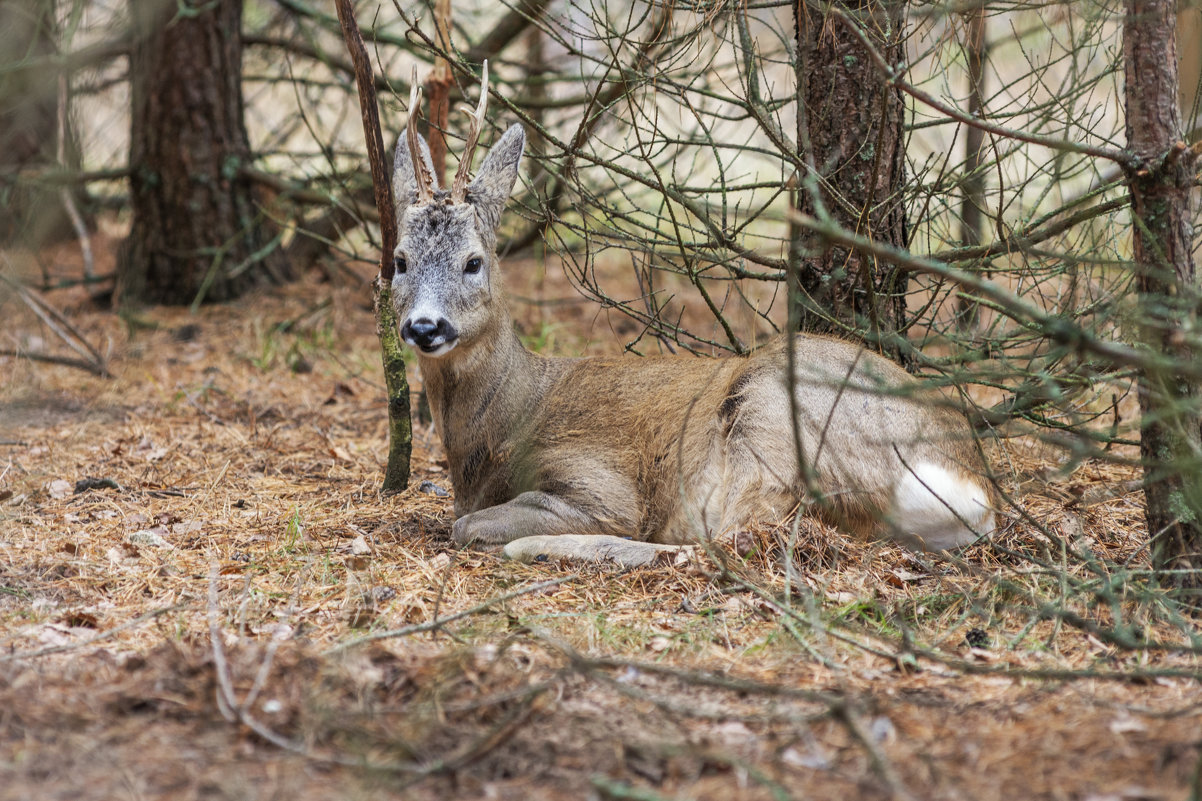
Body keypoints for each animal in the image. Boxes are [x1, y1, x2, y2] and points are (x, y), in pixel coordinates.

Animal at [394, 70, 995, 567]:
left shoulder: (597, 481)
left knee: (731, 537)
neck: (504, 425)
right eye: (399, 260)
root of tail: (974, 488)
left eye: (473, 261)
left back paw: (552, 547)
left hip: (776, 411)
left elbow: (467, 526)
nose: (425, 327)